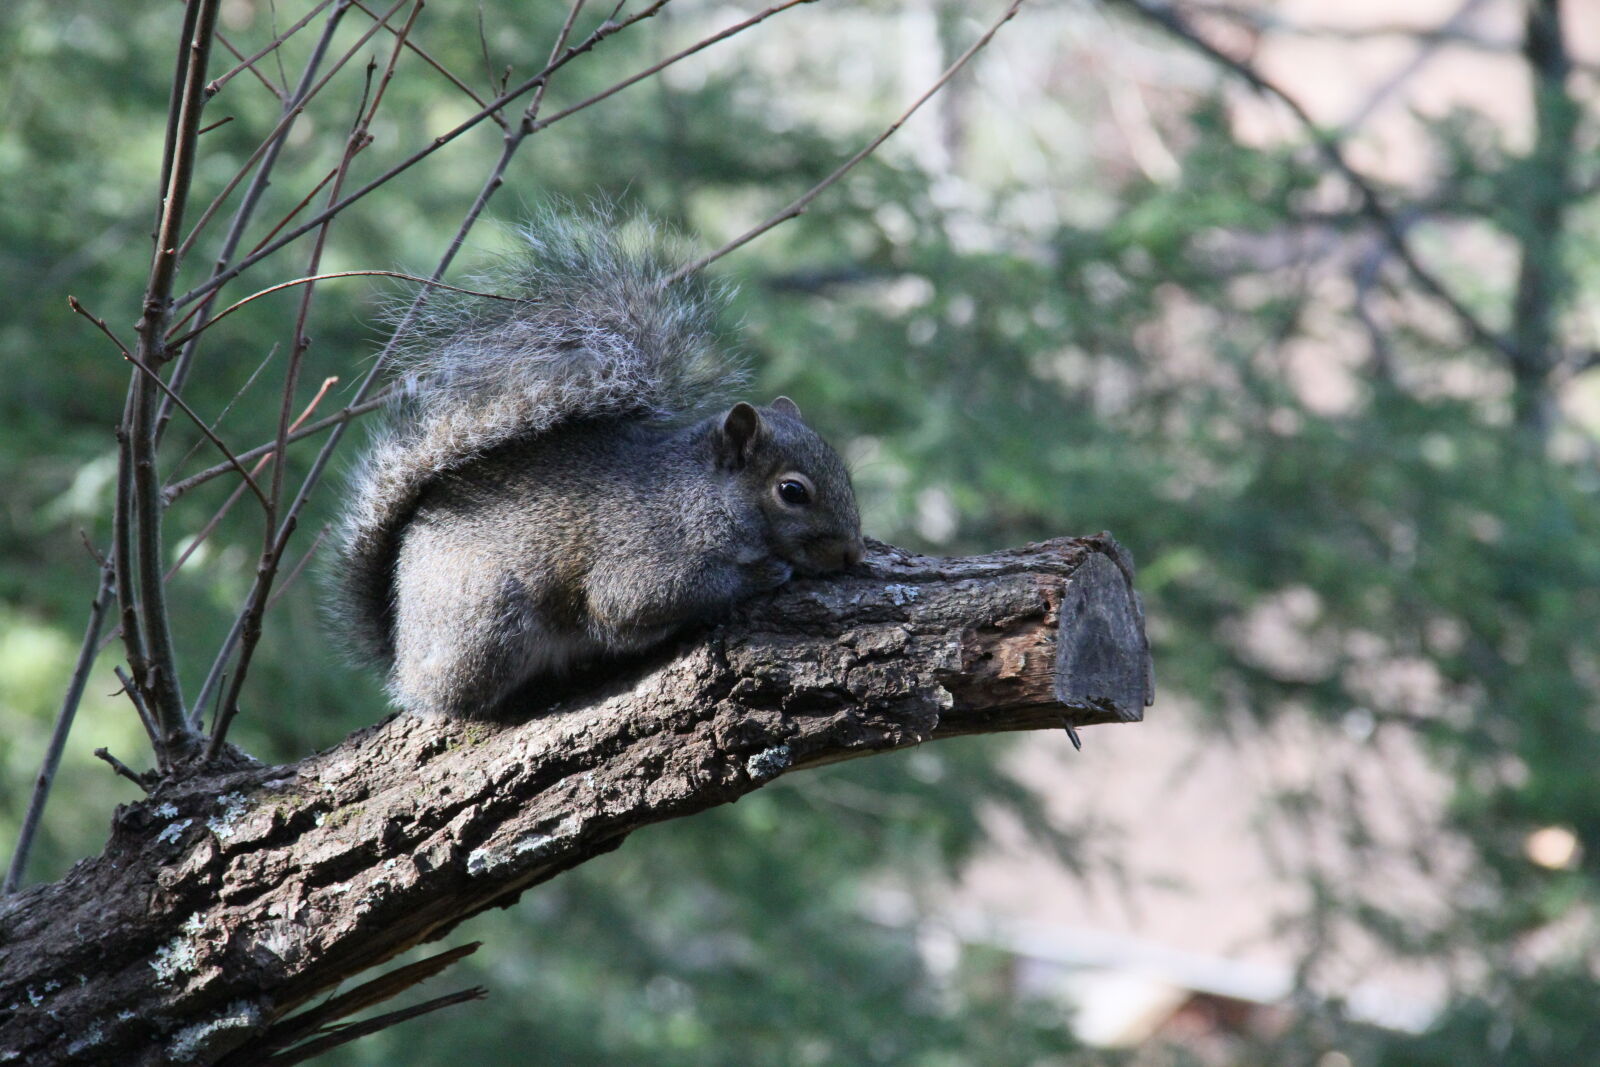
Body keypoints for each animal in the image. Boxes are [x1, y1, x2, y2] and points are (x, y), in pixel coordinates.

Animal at [332, 213, 865, 717]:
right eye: (792, 492)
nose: (852, 555)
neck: (702, 494)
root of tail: (403, 655)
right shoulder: (645, 557)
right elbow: (633, 603)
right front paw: (761, 575)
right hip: (489, 620)